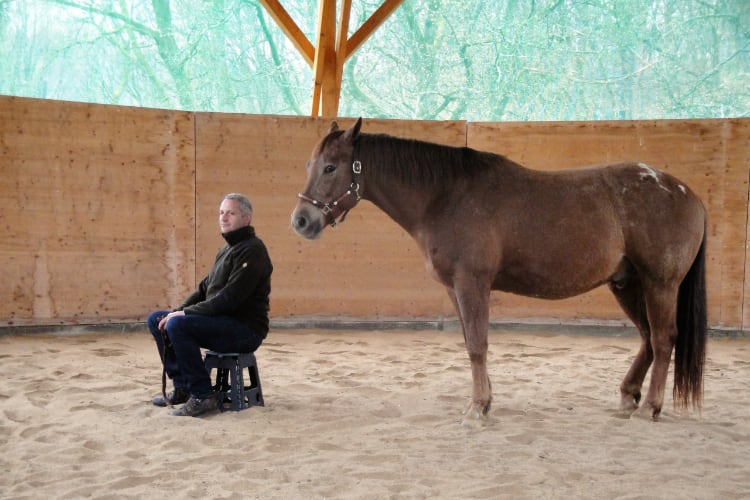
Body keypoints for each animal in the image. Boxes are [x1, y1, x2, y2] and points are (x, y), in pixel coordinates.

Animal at [290, 118, 708, 426]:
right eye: (309, 165)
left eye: (330, 167)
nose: (301, 220)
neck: (446, 196)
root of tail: (687, 193)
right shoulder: (454, 289)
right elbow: (470, 341)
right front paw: (483, 401)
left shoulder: (472, 284)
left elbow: (478, 344)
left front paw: (477, 409)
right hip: (627, 284)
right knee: (647, 338)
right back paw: (628, 397)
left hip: (659, 284)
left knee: (663, 339)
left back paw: (650, 407)